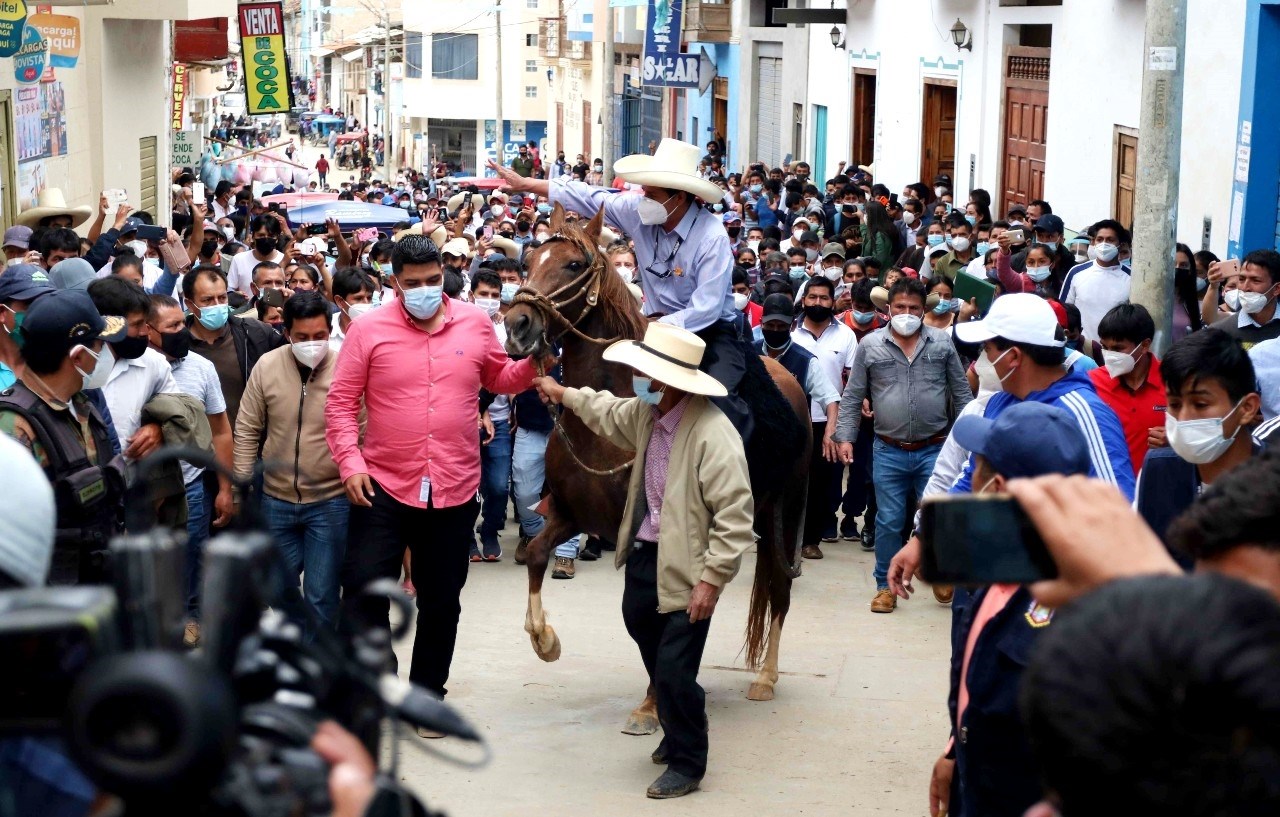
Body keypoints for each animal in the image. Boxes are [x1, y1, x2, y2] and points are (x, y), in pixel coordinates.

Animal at [501, 204, 808, 737]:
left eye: (574, 265)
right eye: (529, 260)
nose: (517, 325)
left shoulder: (647, 534)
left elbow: (652, 612)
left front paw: (650, 706)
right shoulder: (571, 513)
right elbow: (538, 554)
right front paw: (545, 641)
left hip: (783, 516)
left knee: (779, 590)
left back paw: (766, 677)